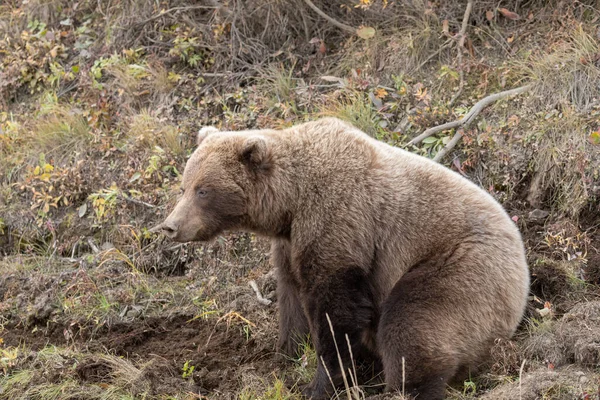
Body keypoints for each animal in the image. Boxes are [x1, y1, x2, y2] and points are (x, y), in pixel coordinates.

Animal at [159, 118, 528, 400]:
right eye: (184, 186)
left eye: (203, 190)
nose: (170, 226)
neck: (290, 204)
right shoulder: (291, 242)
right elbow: (291, 298)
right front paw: (285, 355)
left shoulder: (338, 220)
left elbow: (336, 308)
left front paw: (321, 383)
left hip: (463, 268)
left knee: (412, 322)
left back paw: (402, 387)